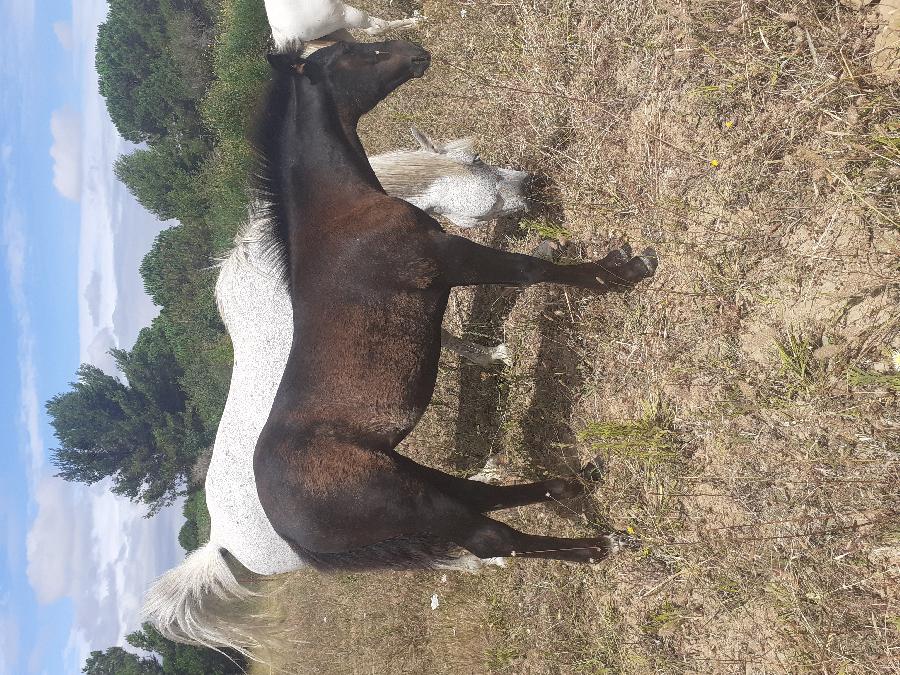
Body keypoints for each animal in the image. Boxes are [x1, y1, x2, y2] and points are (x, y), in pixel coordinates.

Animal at [253, 41, 652, 572]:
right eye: (351, 56)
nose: (415, 52)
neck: (344, 219)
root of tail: (290, 536)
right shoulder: (453, 259)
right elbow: (529, 271)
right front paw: (622, 271)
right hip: (407, 500)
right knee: (490, 537)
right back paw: (598, 546)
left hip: (408, 473)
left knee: (480, 496)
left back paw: (578, 480)